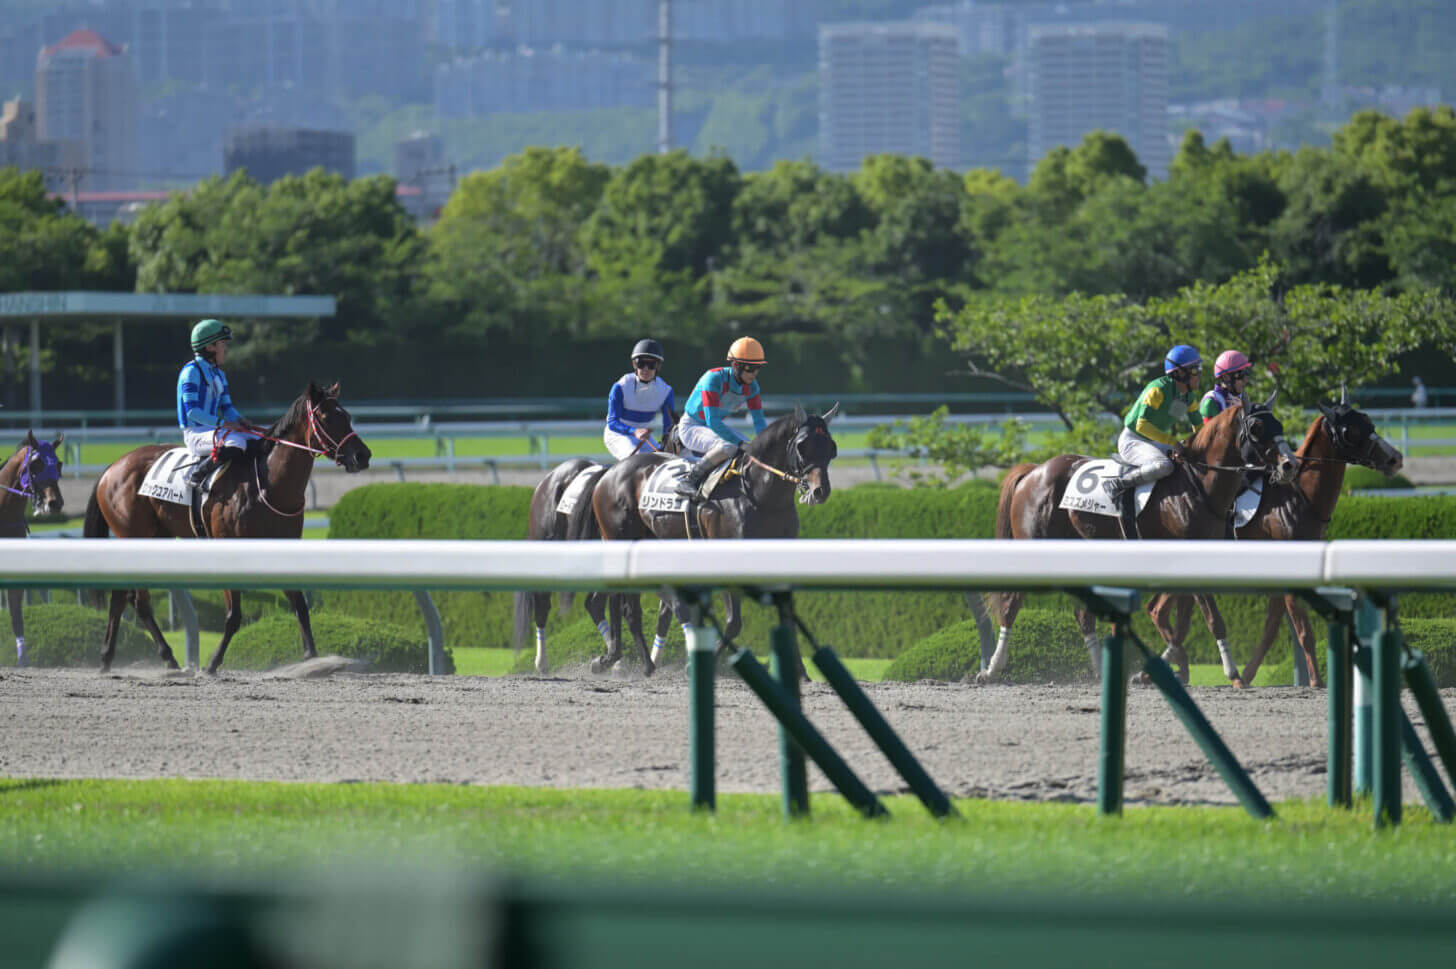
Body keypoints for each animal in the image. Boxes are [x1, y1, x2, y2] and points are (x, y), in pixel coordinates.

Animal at [82, 378, 372, 672]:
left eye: (347, 416)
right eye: (326, 418)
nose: (362, 455)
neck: (267, 483)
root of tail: (111, 468)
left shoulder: (282, 543)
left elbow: (299, 603)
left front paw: (312, 656)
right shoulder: (228, 544)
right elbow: (234, 615)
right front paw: (213, 663)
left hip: (152, 537)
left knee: (121, 597)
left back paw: (108, 658)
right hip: (134, 533)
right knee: (139, 602)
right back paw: (168, 658)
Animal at [591, 401, 844, 672]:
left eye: (831, 448)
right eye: (801, 446)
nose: (820, 491)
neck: (759, 495)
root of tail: (610, 472)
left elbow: (787, 617)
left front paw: (801, 671)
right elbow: (733, 623)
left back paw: (622, 658)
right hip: (618, 537)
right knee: (628, 606)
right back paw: (637, 662)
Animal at [984, 404, 1292, 683]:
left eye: (1278, 423)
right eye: (1257, 428)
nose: (1289, 464)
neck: (1199, 486)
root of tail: (1034, 470)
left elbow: (1181, 622)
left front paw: (1163, 666)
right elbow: (1210, 618)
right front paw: (1231, 671)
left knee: (1083, 615)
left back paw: (1099, 670)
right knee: (1011, 605)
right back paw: (992, 669)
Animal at [1141, 395, 1403, 683]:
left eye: (1369, 422)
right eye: (1352, 430)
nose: (1395, 458)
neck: (1298, 495)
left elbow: (1271, 628)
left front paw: (1247, 674)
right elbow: (1302, 629)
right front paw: (1316, 680)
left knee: (1157, 609)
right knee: (1160, 610)